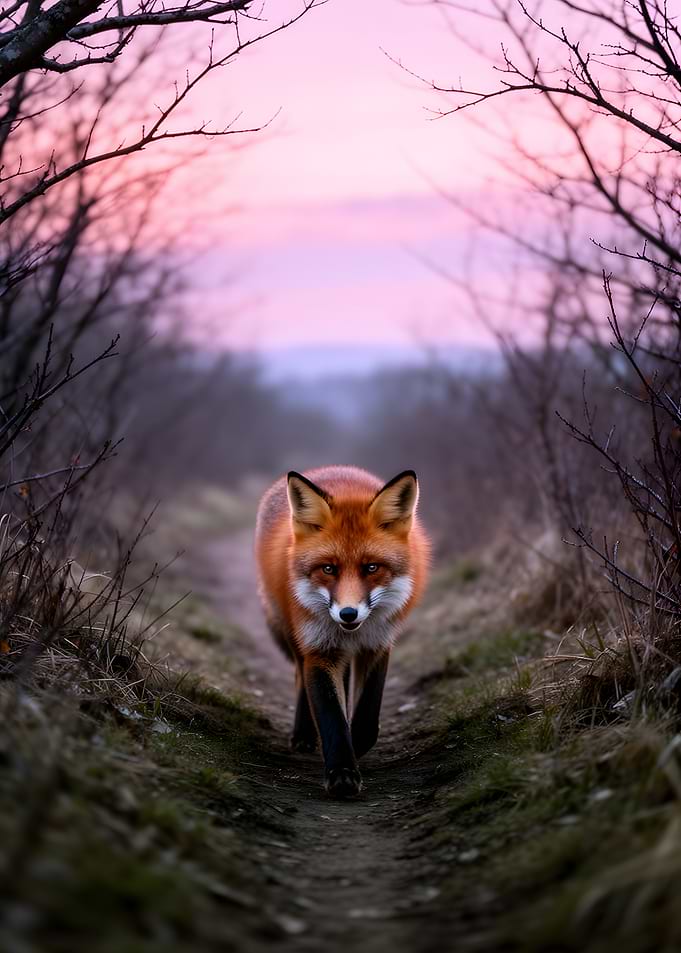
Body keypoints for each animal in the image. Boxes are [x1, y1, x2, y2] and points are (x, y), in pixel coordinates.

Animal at [255, 466, 430, 798]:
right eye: (328, 569)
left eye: (371, 568)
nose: (348, 614)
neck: (351, 633)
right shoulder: (319, 649)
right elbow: (331, 715)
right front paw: (342, 773)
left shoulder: (377, 644)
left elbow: (367, 715)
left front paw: (355, 746)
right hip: (294, 633)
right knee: (299, 676)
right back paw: (303, 733)